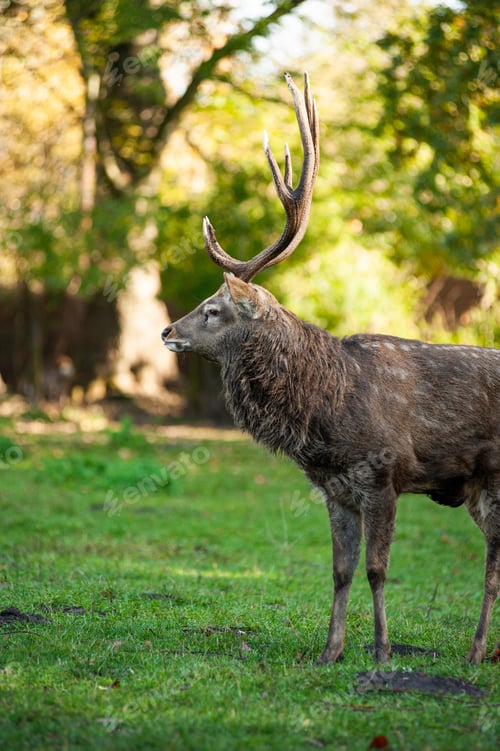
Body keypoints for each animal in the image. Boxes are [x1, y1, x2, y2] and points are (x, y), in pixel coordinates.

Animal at [162, 73, 500, 664]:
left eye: (213, 309)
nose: (165, 332)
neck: (327, 412)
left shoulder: (385, 474)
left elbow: (377, 570)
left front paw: (382, 650)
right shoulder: (334, 488)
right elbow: (341, 571)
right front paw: (330, 651)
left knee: (492, 565)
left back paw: (478, 649)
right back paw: (480, 649)